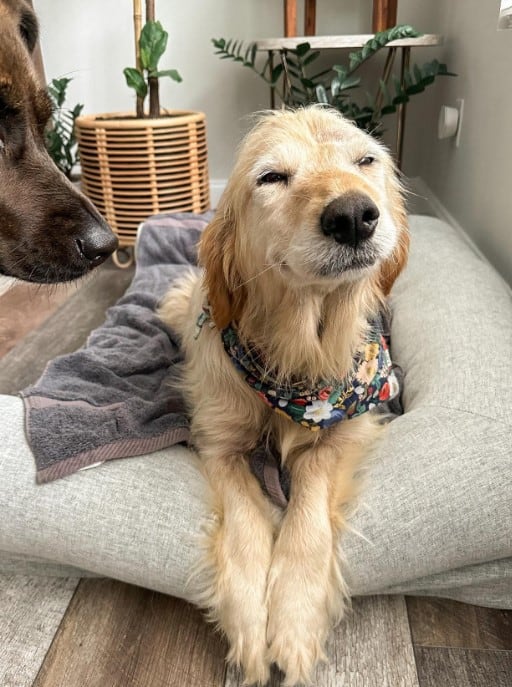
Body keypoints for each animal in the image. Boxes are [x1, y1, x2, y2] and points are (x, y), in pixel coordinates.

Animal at [160, 105, 408, 684]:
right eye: (271, 177)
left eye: (366, 161)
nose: (353, 216)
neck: (296, 361)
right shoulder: (218, 440)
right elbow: (246, 515)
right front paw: (251, 620)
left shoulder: (352, 421)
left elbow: (313, 476)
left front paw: (294, 618)